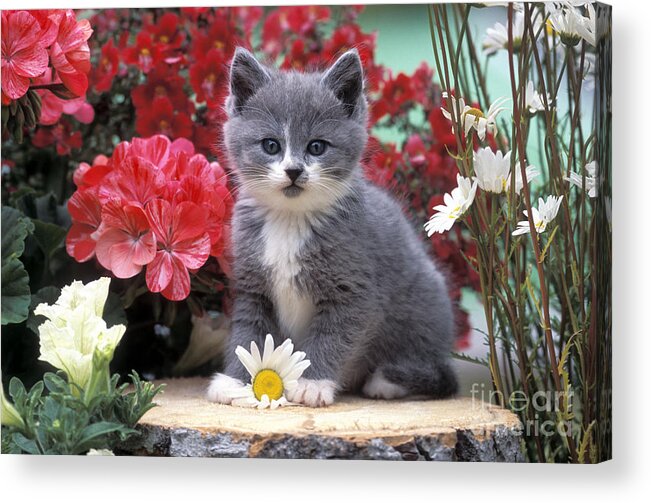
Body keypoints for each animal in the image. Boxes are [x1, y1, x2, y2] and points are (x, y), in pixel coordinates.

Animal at [209, 46, 458, 410]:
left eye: (316, 147)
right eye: (271, 146)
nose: (294, 170)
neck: (291, 218)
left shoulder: (355, 290)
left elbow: (332, 335)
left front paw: (311, 384)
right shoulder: (252, 287)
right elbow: (249, 332)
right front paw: (233, 381)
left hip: (424, 305)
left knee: (439, 371)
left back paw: (387, 381)